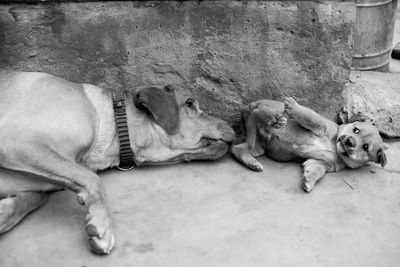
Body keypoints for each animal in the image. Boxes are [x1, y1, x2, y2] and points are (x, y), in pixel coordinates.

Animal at [0, 71, 234, 255]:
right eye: (189, 103)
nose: (232, 126)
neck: (110, 120)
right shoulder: (17, 141)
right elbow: (92, 179)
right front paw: (102, 224)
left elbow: (36, 196)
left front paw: (5, 212)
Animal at [231, 97, 388, 194]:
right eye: (356, 130)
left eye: (366, 147)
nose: (349, 141)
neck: (335, 148)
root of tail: (249, 105)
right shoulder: (319, 124)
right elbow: (307, 115)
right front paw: (293, 106)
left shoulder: (320, 162)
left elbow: (316, 172)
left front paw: (308, 181)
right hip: (269, 112)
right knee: (258, 113)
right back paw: (277, 121)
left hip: (257, 146)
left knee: (237, 149)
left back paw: (253, 163)